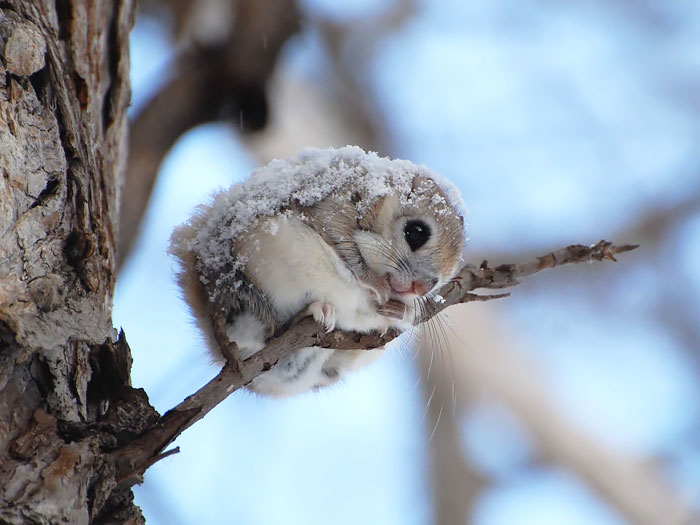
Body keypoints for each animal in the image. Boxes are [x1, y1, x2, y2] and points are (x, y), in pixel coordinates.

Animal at [169, 146, 466, 397]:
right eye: (416, 232)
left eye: (442, 279)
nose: (421, 288)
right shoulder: (332, 208)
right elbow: (348, 251)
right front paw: (375, 285)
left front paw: (400, 310)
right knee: (270, 331)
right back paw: (314, 311)